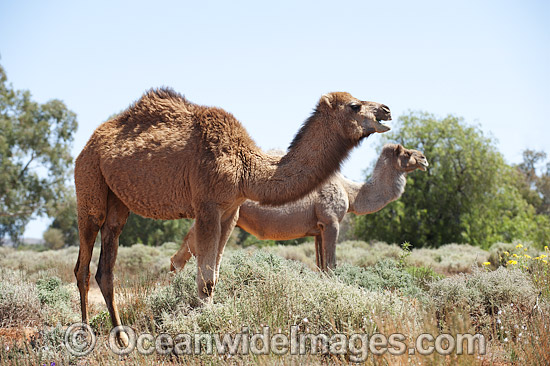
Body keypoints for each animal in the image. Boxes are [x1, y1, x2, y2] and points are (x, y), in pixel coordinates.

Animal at [74, 88, 392, 346]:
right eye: (354, 105)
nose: (386, 110)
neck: (246, 168)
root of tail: (89, 144)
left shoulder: (230, 212)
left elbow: (213, 276)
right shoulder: (207, 206)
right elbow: (205, 280)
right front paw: (202, 332)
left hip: (117, 202)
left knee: (107, 266)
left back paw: (122, 337)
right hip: (89, 185)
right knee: (83, 265)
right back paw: (85, 334)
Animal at [170, 143, 430, 272]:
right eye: (407, 153)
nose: (425, 159)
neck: (350, 192)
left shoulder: (317, 229)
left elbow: (321, 266)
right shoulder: (331, 221)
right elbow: (331, 266)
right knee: (183, 256)